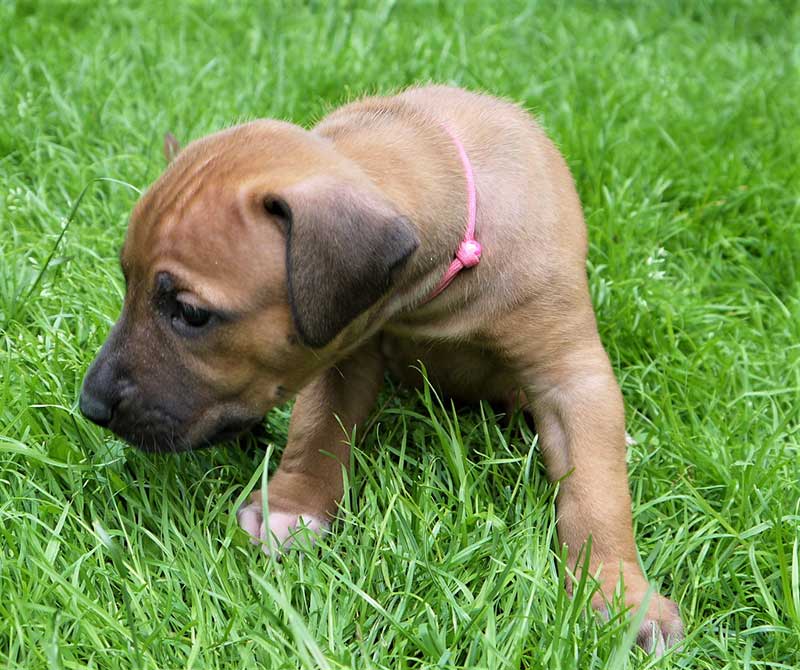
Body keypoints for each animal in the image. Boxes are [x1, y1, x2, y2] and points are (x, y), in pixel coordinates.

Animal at [79, 84, 680, 652]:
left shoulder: (570, 377)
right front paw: (293, 509)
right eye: (127, 283)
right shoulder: (340, 352)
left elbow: (596, 492)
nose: (91, 406)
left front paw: (621, 595)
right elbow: (317, 433)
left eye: (189, 313)